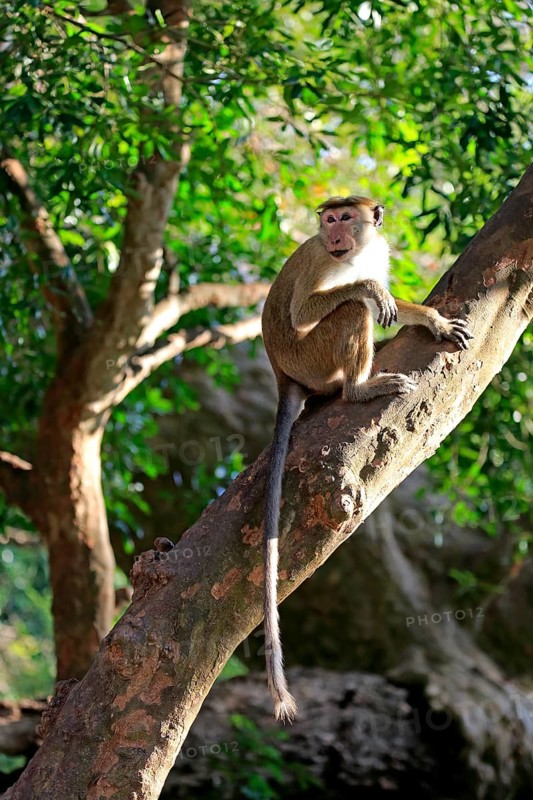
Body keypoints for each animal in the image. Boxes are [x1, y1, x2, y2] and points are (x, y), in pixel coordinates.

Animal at [261, 195, 473, 723]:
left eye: (345, 217)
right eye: (328, 219)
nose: (334, 231)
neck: (352, 254)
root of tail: (283, 375)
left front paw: (432, 319)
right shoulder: (320, 258)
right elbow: (312, 308)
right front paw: (371, 289)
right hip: (311, 357)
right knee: (351, 310)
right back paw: (358, 387)